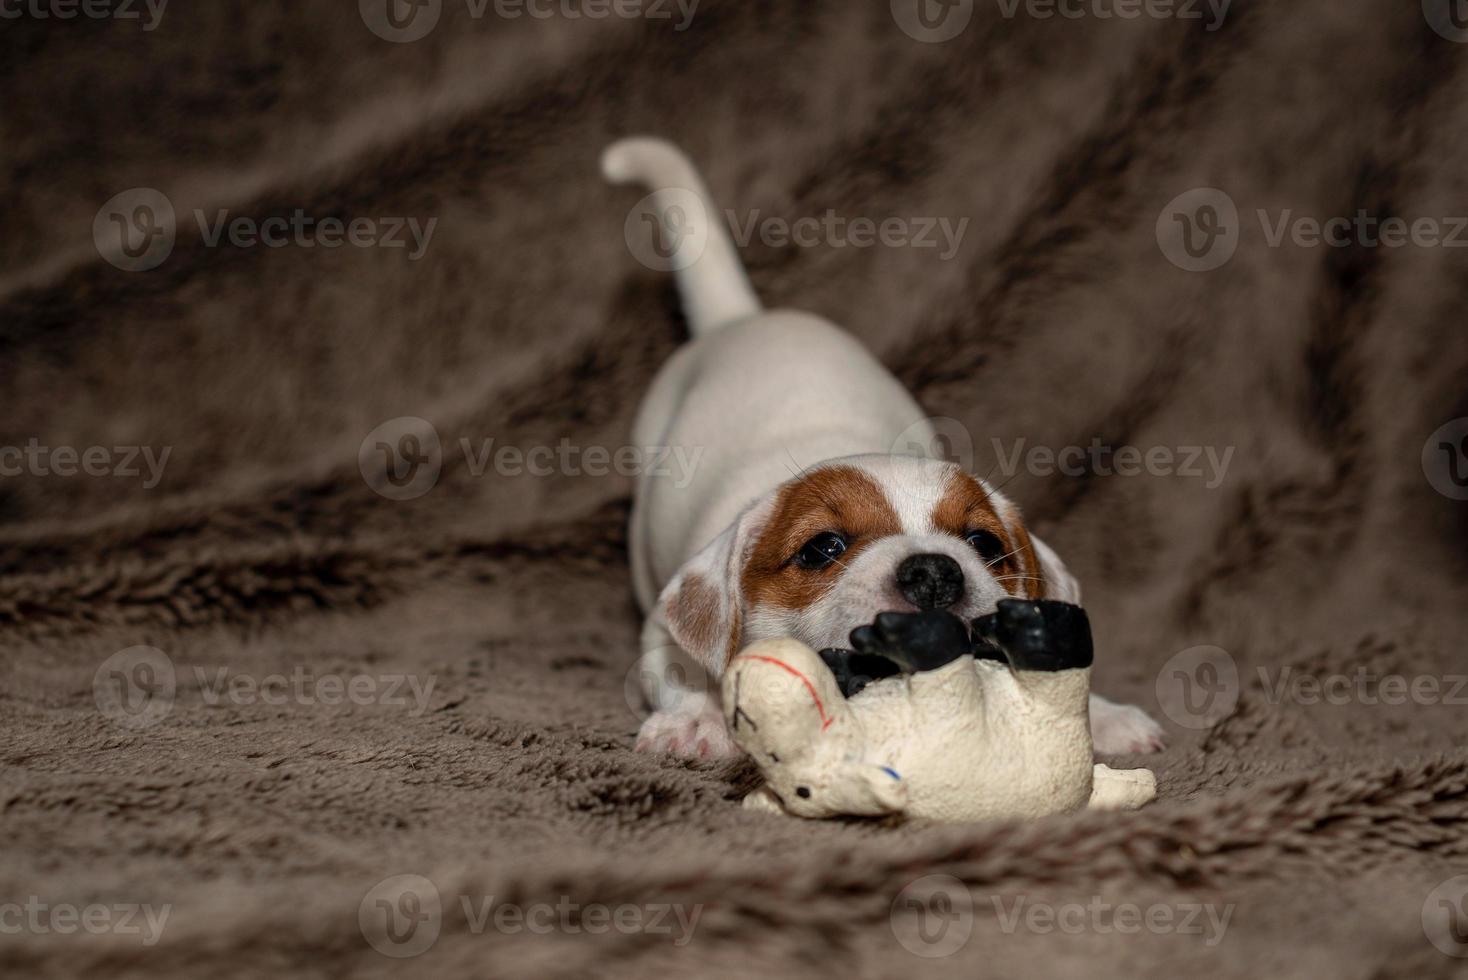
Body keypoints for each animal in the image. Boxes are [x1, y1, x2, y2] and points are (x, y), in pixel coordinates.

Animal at [601, 137, 1162, 762]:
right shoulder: (660, 631)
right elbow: (679, 667)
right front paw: (697, 717)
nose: (934, 573)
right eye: (822, 548)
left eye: (984, 543)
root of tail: (741, 319)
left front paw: (1100, 712)